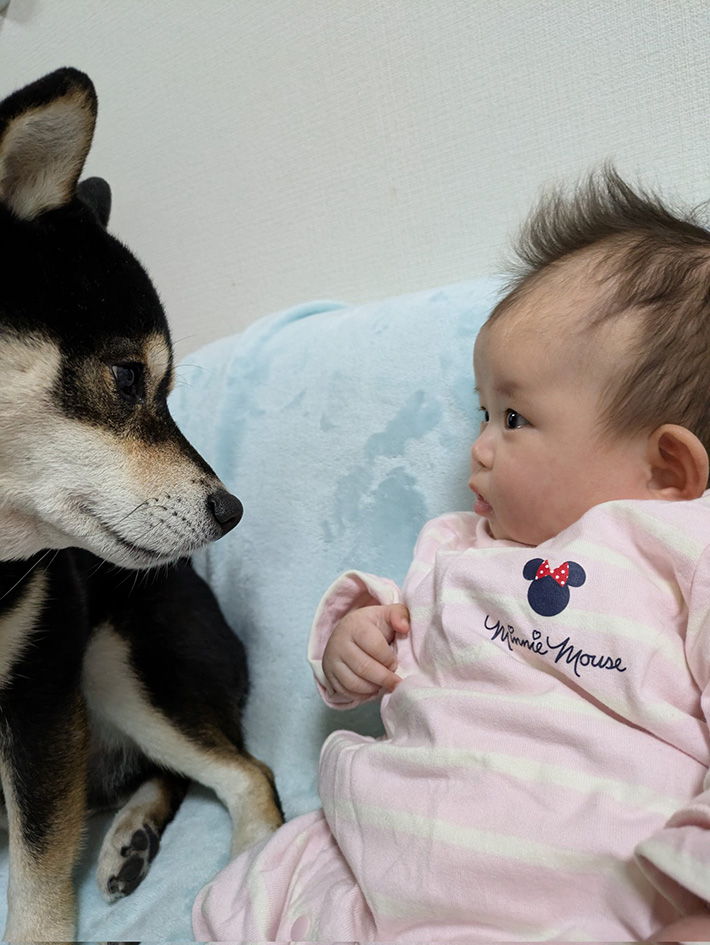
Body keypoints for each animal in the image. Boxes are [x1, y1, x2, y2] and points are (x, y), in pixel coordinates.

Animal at [0, 70, 284, 940]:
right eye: (129, 378)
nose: (230, 509)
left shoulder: (37, 699)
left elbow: (37, 880)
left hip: (115, 656)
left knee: (244, 773)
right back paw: (129, 838)